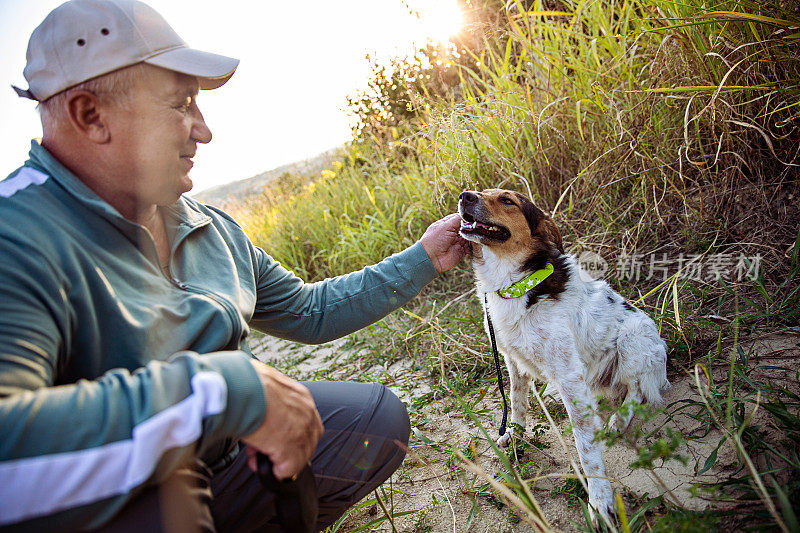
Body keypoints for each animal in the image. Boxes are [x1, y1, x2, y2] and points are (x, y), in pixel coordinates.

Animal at [456, 188, 668, 524]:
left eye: (507, 200)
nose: (464, 196)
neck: (514, 285)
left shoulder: (570, 377)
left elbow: (587, 449)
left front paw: (600, 501)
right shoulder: (513, 360)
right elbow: (517, 400)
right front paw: (515, 434)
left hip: (634, 341)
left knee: (636, 391)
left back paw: (619, 420)